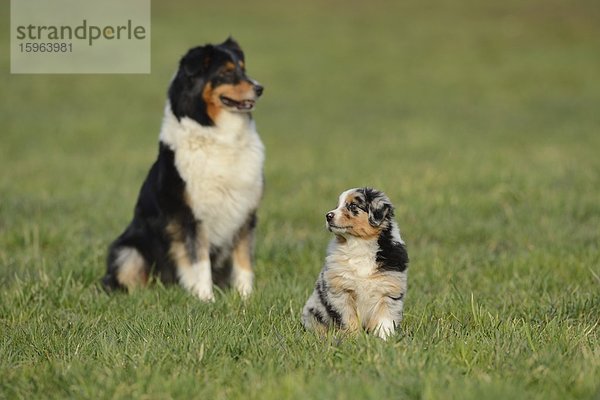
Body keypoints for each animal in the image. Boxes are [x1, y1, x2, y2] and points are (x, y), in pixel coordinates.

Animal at [103, 37, 264, 302]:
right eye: (226, 72)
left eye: (243, 68)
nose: (260, 88)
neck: (219, 135)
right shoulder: (189, 217)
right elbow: (198, 262)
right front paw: (206, 299)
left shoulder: (244, 212)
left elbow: (243, 262)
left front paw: (245, 297)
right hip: (128, 251)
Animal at [302, 189, 410, 340]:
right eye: (337, 205)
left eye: (353, 205)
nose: (328, 215)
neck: (359, 244)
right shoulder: (340, 292)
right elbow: (348, 319)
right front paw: (352, 339)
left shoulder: (388, 290)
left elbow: (384, 320)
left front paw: (385, 340)